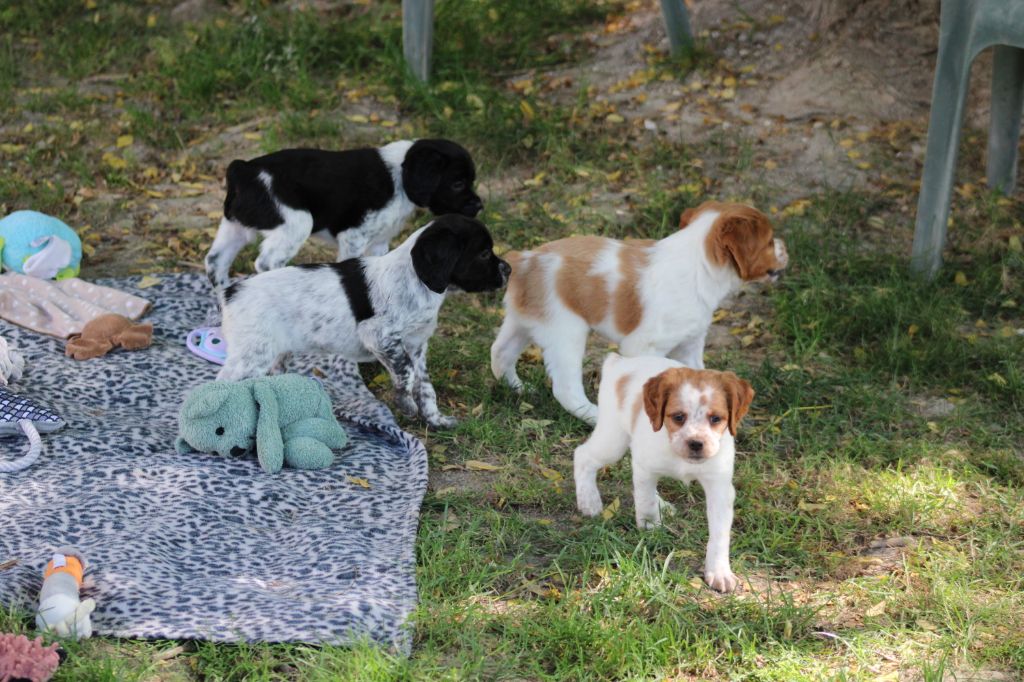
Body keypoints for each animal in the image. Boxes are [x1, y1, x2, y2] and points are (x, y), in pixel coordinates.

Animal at [205, 137, 485, 288]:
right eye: (458, 183)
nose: (479, 206)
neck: (399, 175)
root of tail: (244, 170)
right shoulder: (355, 236)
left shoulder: (379, 243)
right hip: (297, 223)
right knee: (266, 263)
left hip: (235, 227)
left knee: (215, 263)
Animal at [214, 214, 509, 425]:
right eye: (484, 253)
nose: (508, 269)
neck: (416, 280)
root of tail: (231, 292)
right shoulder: (379, 336)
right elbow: (406, 372)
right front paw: (405, 404)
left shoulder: (416, 346)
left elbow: (425, 386)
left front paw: (435, 419)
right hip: (250, 358)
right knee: (219, 385)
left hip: (275, 353)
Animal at [491, 199, 786, 421]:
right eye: (770, 241)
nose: (785, 248)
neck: (696, 263)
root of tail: (523, 260)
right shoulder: (644, 346)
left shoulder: (689, 344)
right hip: (565, 331)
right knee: (566, 389)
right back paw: (596, 417)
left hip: (523, 322)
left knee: (500, 353)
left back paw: (518, 389)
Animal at [573, 352, 757, 593]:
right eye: (678, 417)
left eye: (716, 419)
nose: (696, 443)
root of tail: (619, 361)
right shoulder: (645, 468)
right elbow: (645, 500)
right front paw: (651, 526)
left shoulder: (719, 487)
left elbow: (719, 533)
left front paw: (719, 572)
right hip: (613, 439)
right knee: (583, 456)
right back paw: (589, 502)